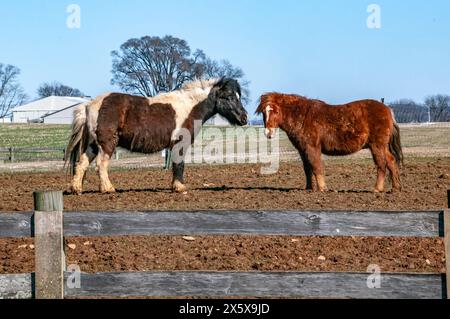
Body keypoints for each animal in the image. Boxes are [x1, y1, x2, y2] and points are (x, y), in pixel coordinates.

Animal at [65, 79, 248, 196]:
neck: (189, 107)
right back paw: (108, 189)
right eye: (230, 97)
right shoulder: (180, 143)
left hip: (94, 144)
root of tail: (89, 105)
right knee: (101, 164)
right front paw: (179, 187)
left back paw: (77, 189)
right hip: (106, 143)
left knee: (81, 164)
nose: (244, 118)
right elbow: (179, 165)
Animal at [256, 92, 404, 192]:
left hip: (376, 146)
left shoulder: (312, 148)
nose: (268, 133)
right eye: (263, 112)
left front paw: (322, 188)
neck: (303, 117)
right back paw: (395, 188)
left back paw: (377, 189)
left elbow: (316, 167)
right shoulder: (303, 150)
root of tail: (387, 109)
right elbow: (307, 168)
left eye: (275, 111)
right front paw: (309, 188)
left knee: (382, 165)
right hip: (382, 147)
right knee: (391, 161)